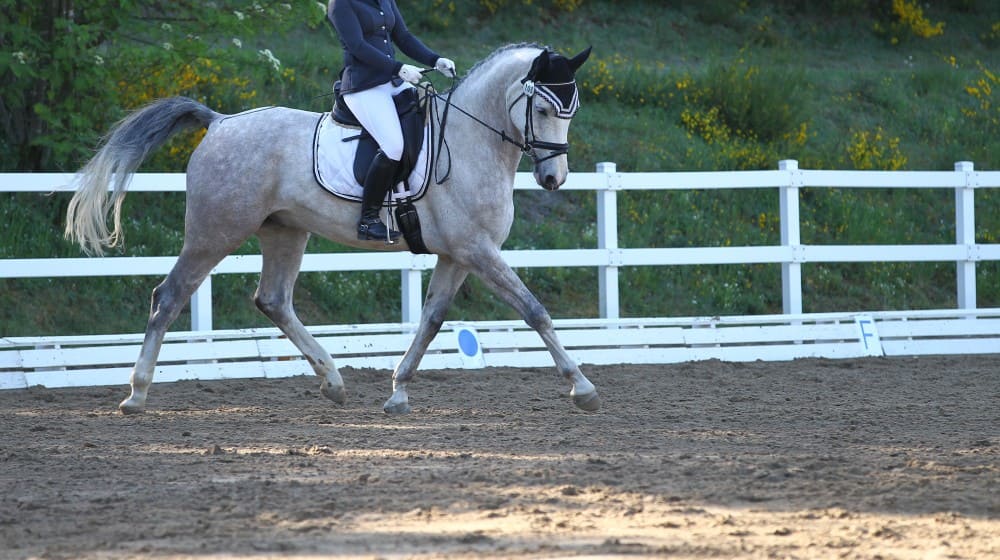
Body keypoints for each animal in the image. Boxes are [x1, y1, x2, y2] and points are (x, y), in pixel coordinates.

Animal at [65, 43, 601, 415]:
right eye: (543, 110)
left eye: (572, 112)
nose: (554, 179)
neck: (471, 141)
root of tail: (219, 122)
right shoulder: (478, 250)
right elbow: (535, 311)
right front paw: (583, 388)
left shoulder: (458, 254)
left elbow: (431, 321)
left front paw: (398, 394)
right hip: (214, 232)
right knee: (170, 295)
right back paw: (136, 395)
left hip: (283, 231)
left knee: (273, 300)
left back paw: (334, 383)